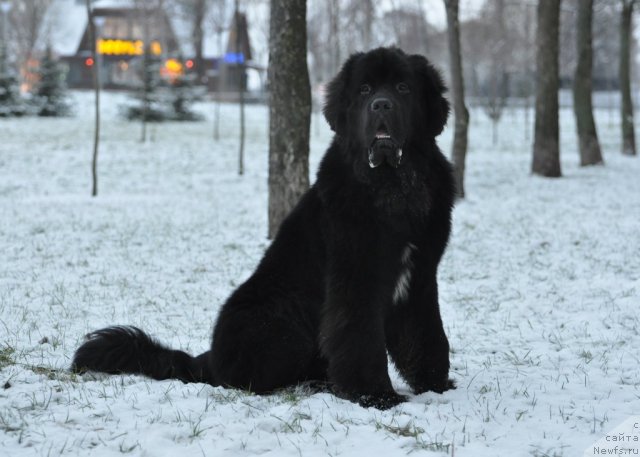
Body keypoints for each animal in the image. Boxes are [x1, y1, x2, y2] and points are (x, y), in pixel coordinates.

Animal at [72, 48, 456, 408]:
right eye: (364, 90)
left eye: (403, 88)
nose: (381, 104)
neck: (393, 185)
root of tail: (209, 359)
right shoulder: (356, 280)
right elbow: (361, 338)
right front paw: (376, 396)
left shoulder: (420, 276)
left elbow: (427, 333)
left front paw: (435, 385)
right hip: (280, 320)